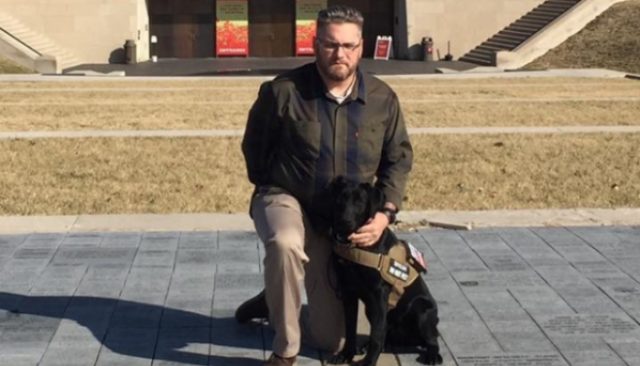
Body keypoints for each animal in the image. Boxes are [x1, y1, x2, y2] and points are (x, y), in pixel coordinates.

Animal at [330, 176, 440, 364]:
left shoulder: (379, 293)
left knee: (431, 340)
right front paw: (347, 354)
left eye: (360, 202)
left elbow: (377, 334)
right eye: (340, 200)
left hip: (421, 310)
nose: (344, 223)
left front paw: (369, 361)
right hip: (371, 309)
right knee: (388, 335)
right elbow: (350, 328)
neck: (356, 246)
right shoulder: (348, 291)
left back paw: (432, 355)